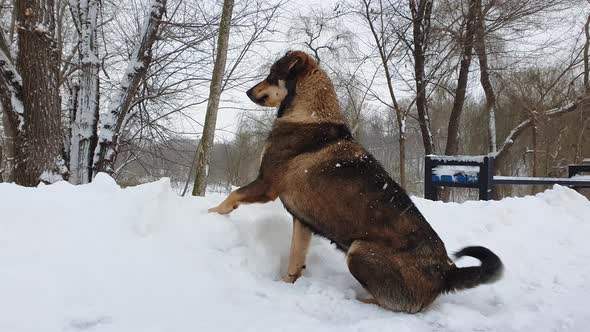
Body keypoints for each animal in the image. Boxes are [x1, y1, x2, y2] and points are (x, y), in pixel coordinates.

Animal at [210, 50, 506, 312]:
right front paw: (287, 283)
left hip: (358, 252)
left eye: (273, 75)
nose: (248, 92)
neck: (310, 114)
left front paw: (211, 212)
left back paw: (358, 301)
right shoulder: (302, 221)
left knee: (391, 304)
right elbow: (295, 259)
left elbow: (233, 195)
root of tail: (446, 273)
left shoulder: (267, 184)